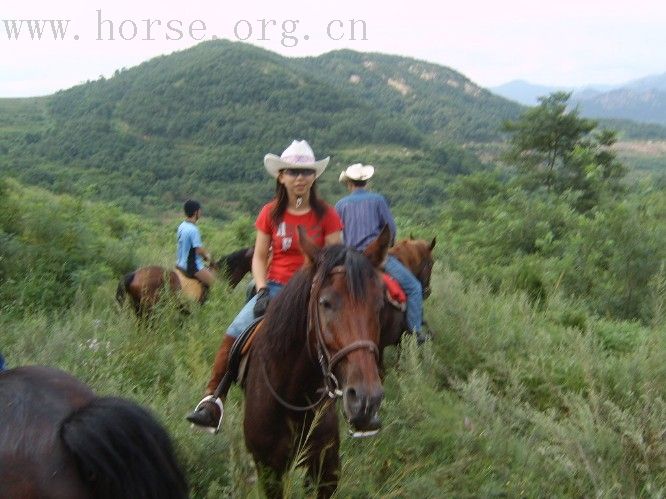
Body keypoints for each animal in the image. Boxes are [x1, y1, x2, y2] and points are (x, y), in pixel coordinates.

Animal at [240, 229, 390, 498]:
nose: (366, 400)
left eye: (380, 304)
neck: (293, 398)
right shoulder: (268, 470)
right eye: (325, 303)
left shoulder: (326, 469)